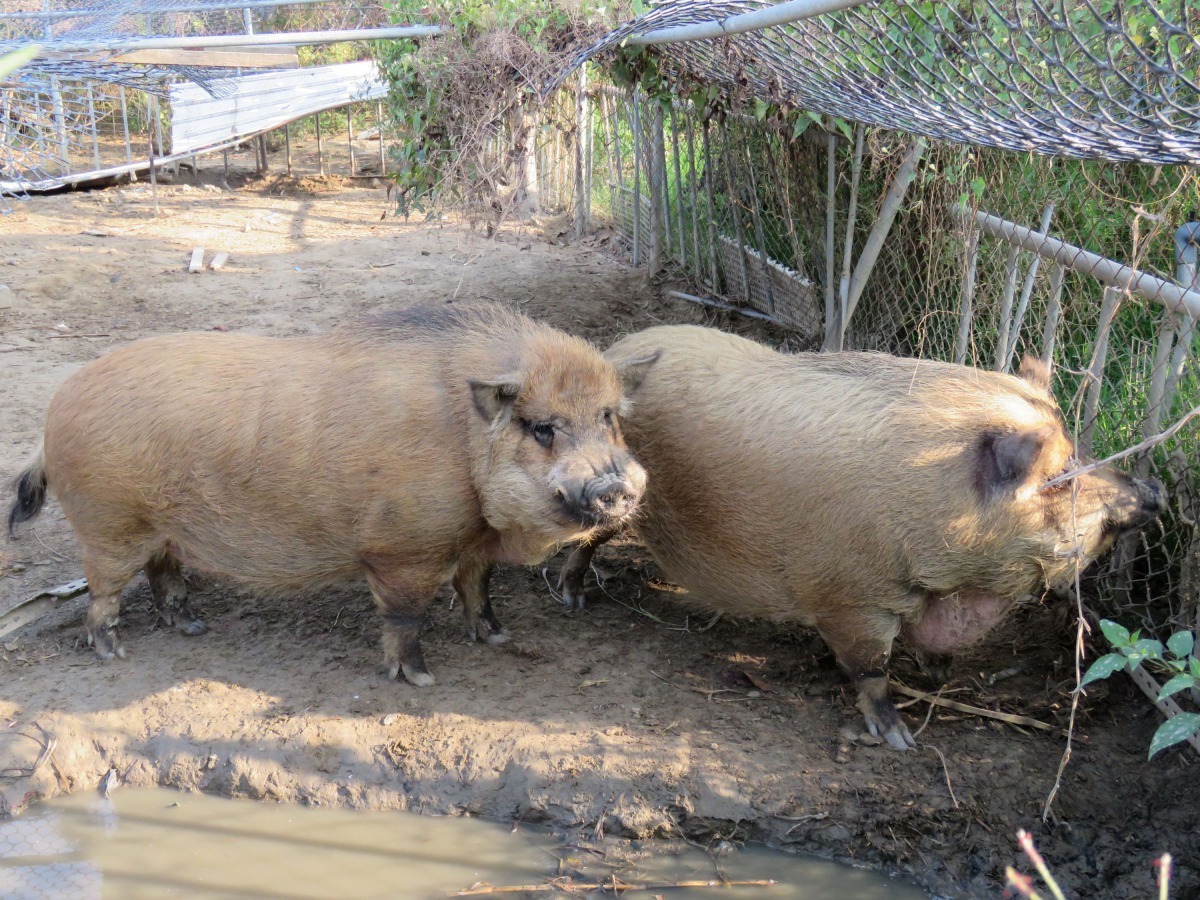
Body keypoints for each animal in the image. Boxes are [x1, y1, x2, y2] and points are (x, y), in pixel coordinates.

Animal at [7, 307, 657, 686]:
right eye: (543, 428)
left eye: (607, 417)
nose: (617, 487)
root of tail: (53, 413)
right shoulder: (403, 547)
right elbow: (406, 614)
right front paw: (420, 680)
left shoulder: (467, 543)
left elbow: (478, 588)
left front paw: (498, 638)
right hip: (107, 523)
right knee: (105, 592)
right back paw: (111, 653)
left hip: (160, 529)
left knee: (163, 574)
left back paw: (192, 627)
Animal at [559, 328, 1161, 748]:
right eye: (1062, 476)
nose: (1153, 489)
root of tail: (618, 350)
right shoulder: (851, 599)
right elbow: (871, 669)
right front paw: (900, 741)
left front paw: (940, 673)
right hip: (619, 499)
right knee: (586, 539)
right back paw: (573, 600)